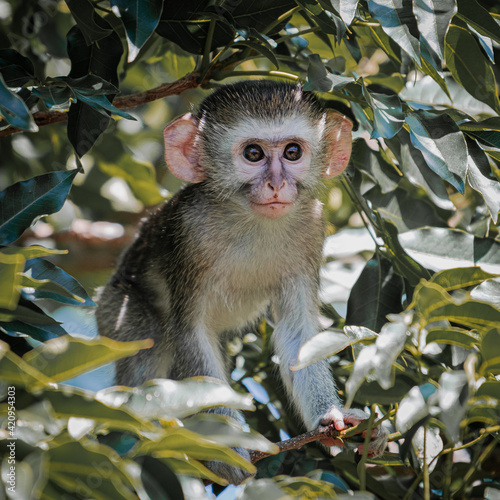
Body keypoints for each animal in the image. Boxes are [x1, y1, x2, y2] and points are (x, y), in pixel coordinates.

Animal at [96, 82, 386, 484]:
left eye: (292, 152)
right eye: (253, 154)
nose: (277, 184)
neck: (251, 221)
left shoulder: (312, 228)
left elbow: (298, 334)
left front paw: (332, 417)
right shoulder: (189, 235)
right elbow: (190, 333)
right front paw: (228, 448)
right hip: (115, 306)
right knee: (147, 343)